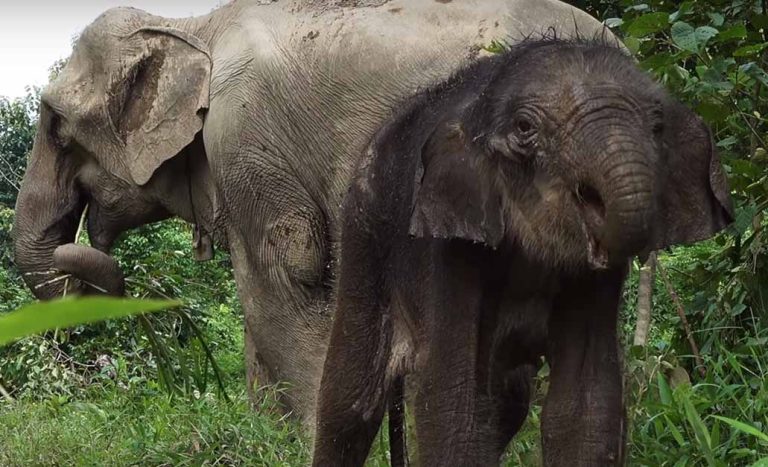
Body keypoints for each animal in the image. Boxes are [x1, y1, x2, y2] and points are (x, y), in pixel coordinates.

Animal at [12, 0, 612, 426]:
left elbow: (286, 268)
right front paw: (264, 436)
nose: (86, 249)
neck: (193, 26)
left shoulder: (245, 135)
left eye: (57, 126)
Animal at [312, 40, 732, 467]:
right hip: (362, 235)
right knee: (349, 400)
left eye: (658, 124)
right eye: (525, 128)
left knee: (509, 399)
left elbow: (584, 404)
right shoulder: (451, 246)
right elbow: (455, 402)